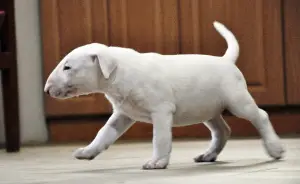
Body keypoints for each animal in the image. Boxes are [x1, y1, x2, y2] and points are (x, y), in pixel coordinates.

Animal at [44, 21, 284, 170]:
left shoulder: (160, 111)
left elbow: (159, 138)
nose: (46, 89)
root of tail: (226, 61)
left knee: (261, 116)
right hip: (206, 109)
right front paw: (87, 152)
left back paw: (275, 149)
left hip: (238, 102)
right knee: (222, 131)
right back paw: (208, 155)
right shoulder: (122, 115)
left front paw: (157, 162)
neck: (120, 71)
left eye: (67, 67)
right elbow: (104, 134)